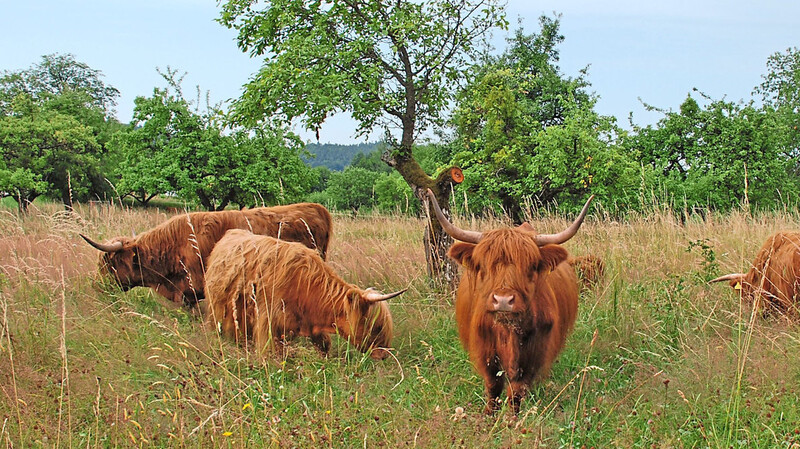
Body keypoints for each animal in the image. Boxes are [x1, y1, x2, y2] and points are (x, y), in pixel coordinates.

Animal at [428, 189, 592, 412]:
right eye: (483, 265)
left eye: (531, 266)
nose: (503, 300)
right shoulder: (485, 351)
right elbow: (493, 386)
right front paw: (490, 414)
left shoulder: (534, 353)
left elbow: (516, 390)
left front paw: (512, 417)